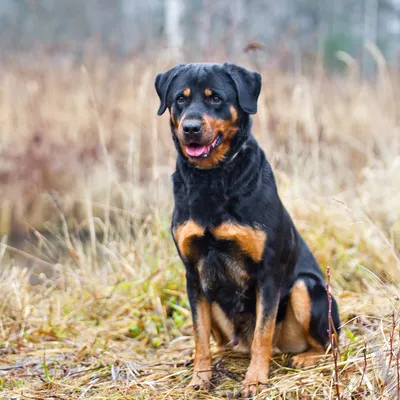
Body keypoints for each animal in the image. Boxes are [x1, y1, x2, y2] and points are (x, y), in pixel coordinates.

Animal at [155, 63, 340, 396]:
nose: (190, 128)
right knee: (218, 340)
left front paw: (254, 380)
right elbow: (199, 334)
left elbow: (262, 334)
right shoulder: (193, 274)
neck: (212, 178)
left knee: (329, 343)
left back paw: (305, 357)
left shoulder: (268, 274)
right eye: (180, 99)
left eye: (215, 98)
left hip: (307, 288)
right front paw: (200, 377)